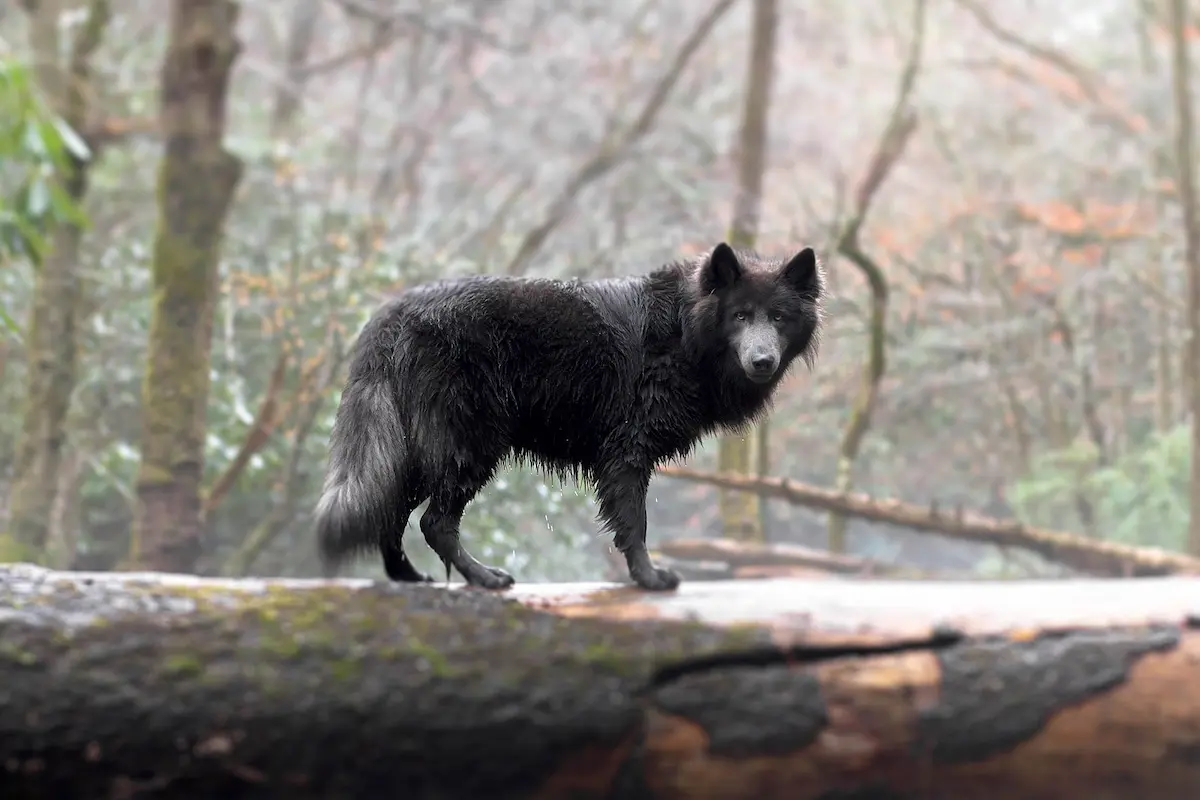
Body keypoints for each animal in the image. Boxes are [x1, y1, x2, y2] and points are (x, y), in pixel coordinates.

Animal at [314, 242, 824, 591]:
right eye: (740, 316)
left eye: (778, 318)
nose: (762, 361)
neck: (683, 334)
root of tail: (394, 312)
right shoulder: (627, 455)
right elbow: (635, 525)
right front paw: (648, 579)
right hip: (470, 448)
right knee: (433, 523)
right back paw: (484, 578)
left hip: (424, 451)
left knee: (393, 512)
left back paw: (407, 577)